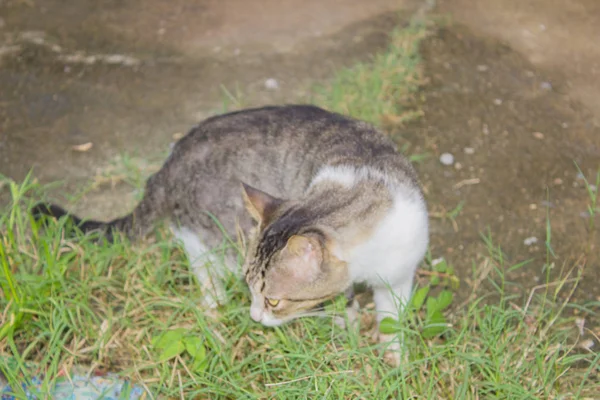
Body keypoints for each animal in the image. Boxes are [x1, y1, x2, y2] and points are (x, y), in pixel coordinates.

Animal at [32, 104, 428, 364]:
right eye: (254, 293)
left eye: (274, 301)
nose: (254, 317)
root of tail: (169, 163)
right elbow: (343, 305)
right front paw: (348, 333)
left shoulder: (400, 272)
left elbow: (392, 317)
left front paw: (394, 357)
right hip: (214, 225)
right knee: (198, 254)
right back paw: (216, 302)